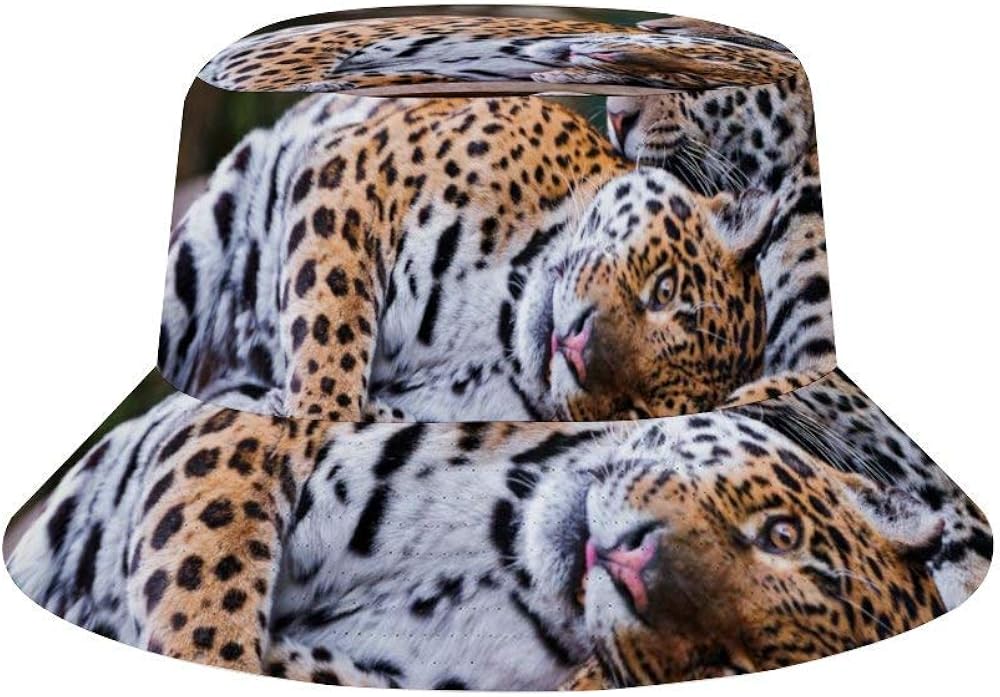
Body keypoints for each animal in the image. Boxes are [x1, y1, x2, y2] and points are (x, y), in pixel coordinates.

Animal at [159, 94, 783, 423]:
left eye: (635, 409)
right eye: (664, 291)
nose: (577, 346)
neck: (497, 315)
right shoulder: (357, 173)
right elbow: (331, 328)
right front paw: (313, 414)